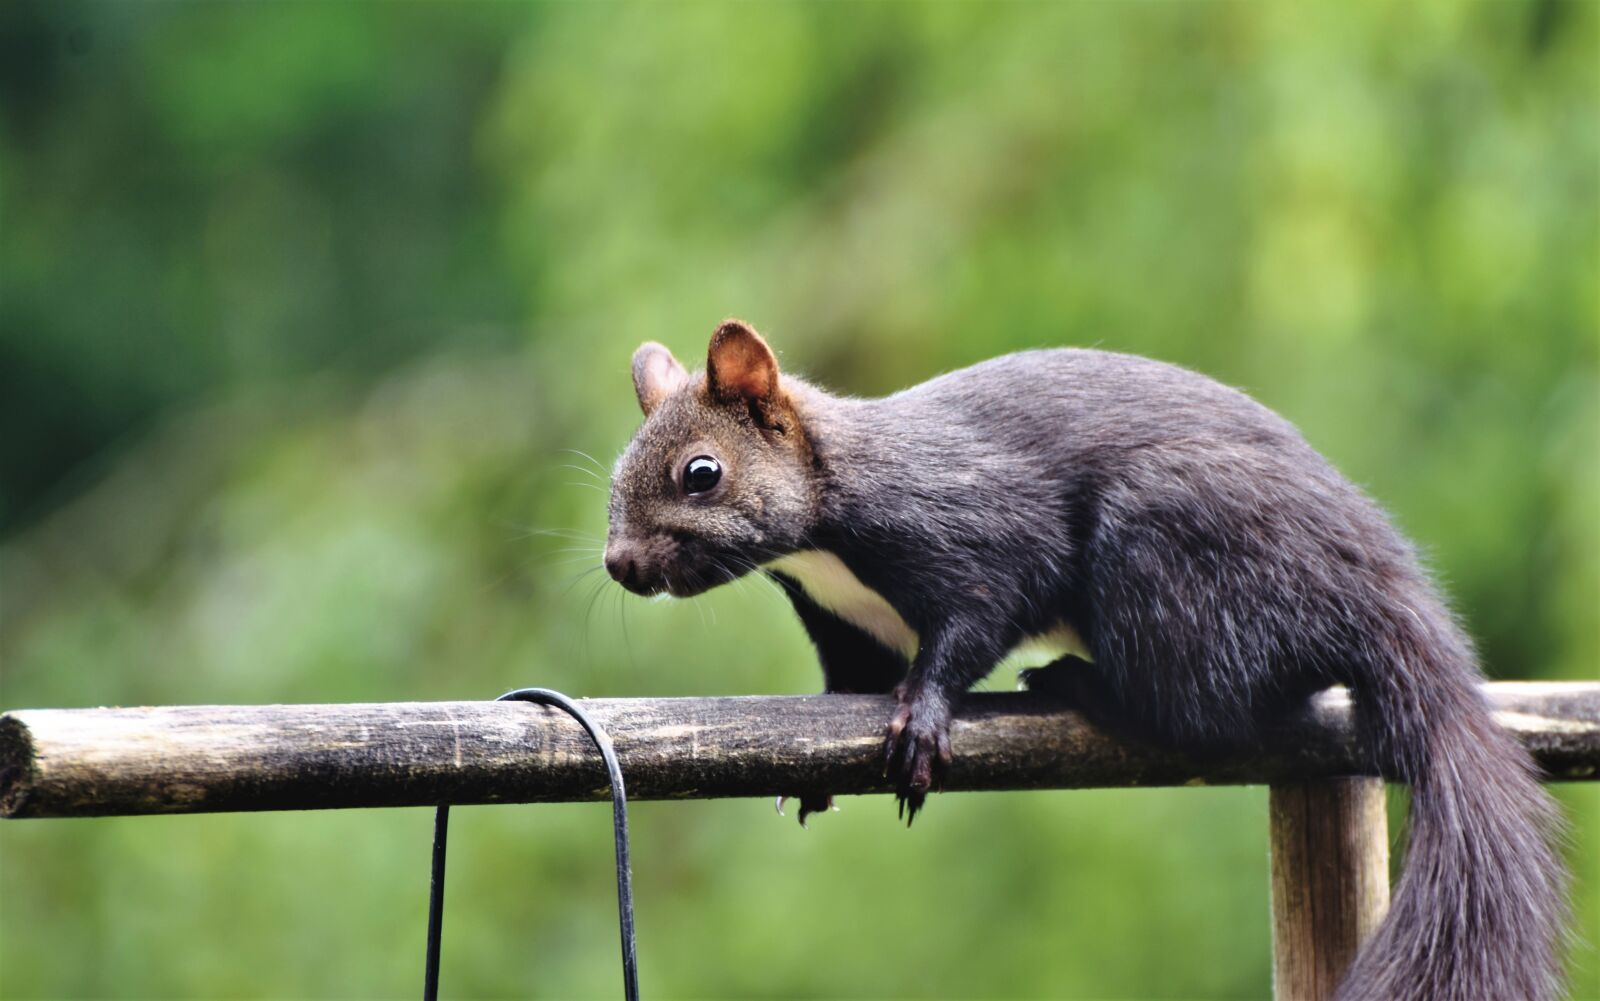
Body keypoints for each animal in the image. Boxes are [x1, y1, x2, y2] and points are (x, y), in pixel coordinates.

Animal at [604, 319, 1566, 1001]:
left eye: (701, 472)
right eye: (615, 477)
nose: (620, 564)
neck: (822, 541)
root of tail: (1376, 582)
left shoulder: (981, 534)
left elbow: (968, 632)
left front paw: (924, 720)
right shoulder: (844, 624)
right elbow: (848, 686)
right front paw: (813, 767)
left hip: (1168, 551)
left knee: (1208, 709)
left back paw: (1082, 683)